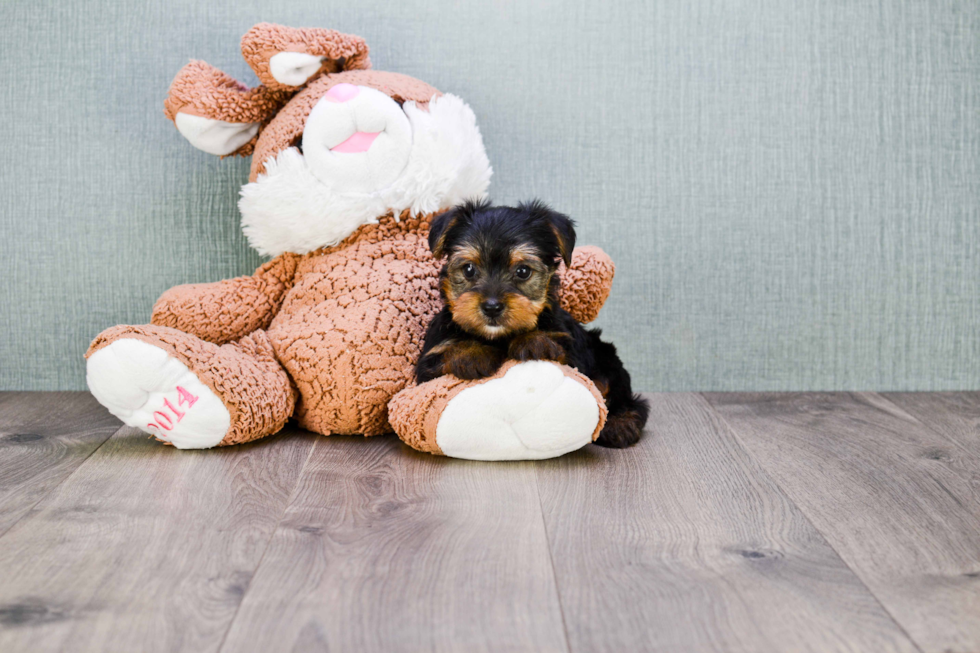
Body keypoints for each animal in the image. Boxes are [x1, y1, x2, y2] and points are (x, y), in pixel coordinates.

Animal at [418, 196, 648, 446]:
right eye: (468, 269)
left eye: (523, 271)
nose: (492, 306)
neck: (498, 336)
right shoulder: (427, 365)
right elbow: (444, 357)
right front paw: (471, 353)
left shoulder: (574, 352)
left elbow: (560, 351)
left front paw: (534, 340)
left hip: (605, 357)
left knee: (620, 394)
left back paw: (620, 424)